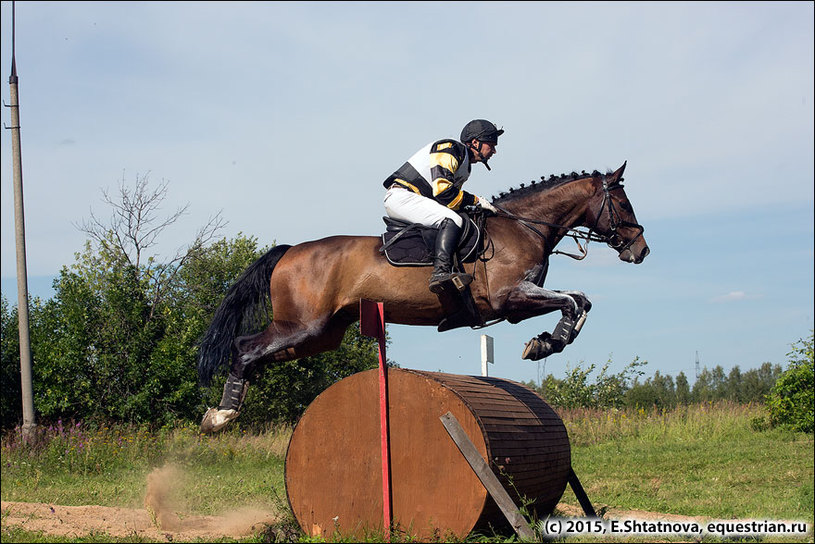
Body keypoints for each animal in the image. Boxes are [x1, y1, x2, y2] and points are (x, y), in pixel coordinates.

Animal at [198, 162, 652, 434]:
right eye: (622, 202)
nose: (641, 250)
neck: (524, 226)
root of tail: (290, 250)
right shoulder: (511, 298)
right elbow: (574, 301)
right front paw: (545, 344)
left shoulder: (520, 303)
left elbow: (581, 300)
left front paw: (546, 342)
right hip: (301, 326)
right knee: (245, 347)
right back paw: (221, 415)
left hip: (319, 335)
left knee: (257, 355)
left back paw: (229, 405)